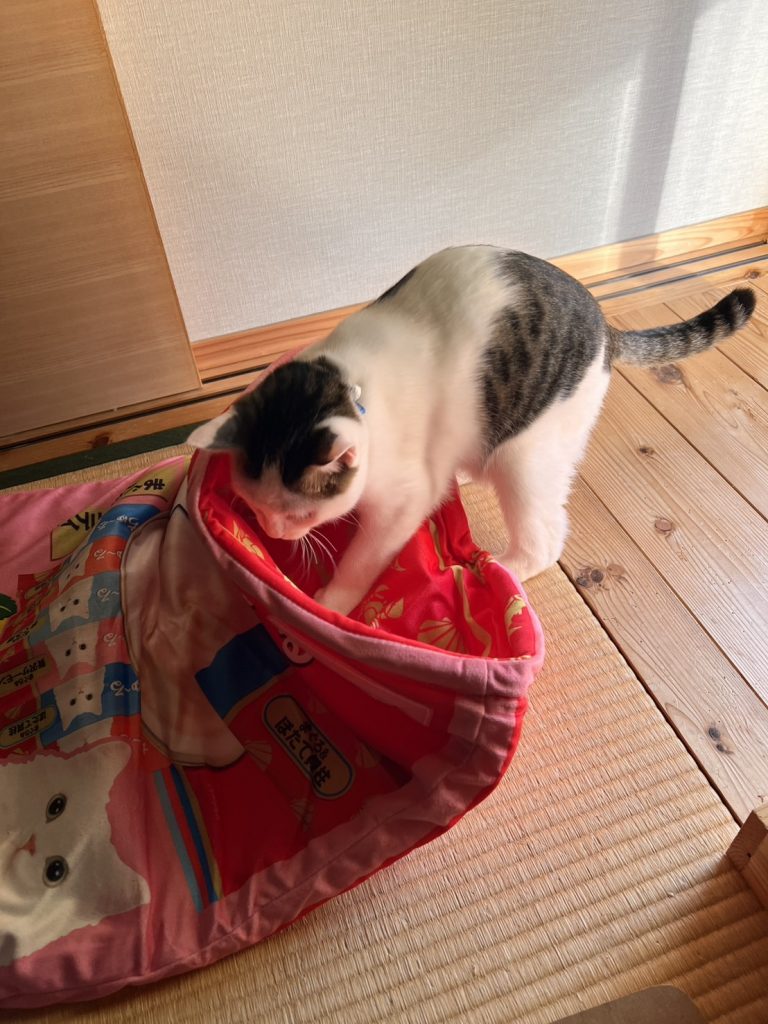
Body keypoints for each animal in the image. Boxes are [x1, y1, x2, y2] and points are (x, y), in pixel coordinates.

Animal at [188, 245, 756, 616]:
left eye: (299, 514)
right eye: (256, 507)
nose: (273, 532)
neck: (350, 383)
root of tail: (607, 329)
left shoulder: (401, 502)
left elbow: (361, 561)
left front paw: (329, 604)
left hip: (526, 456)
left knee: (545, 539)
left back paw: (501, 568)